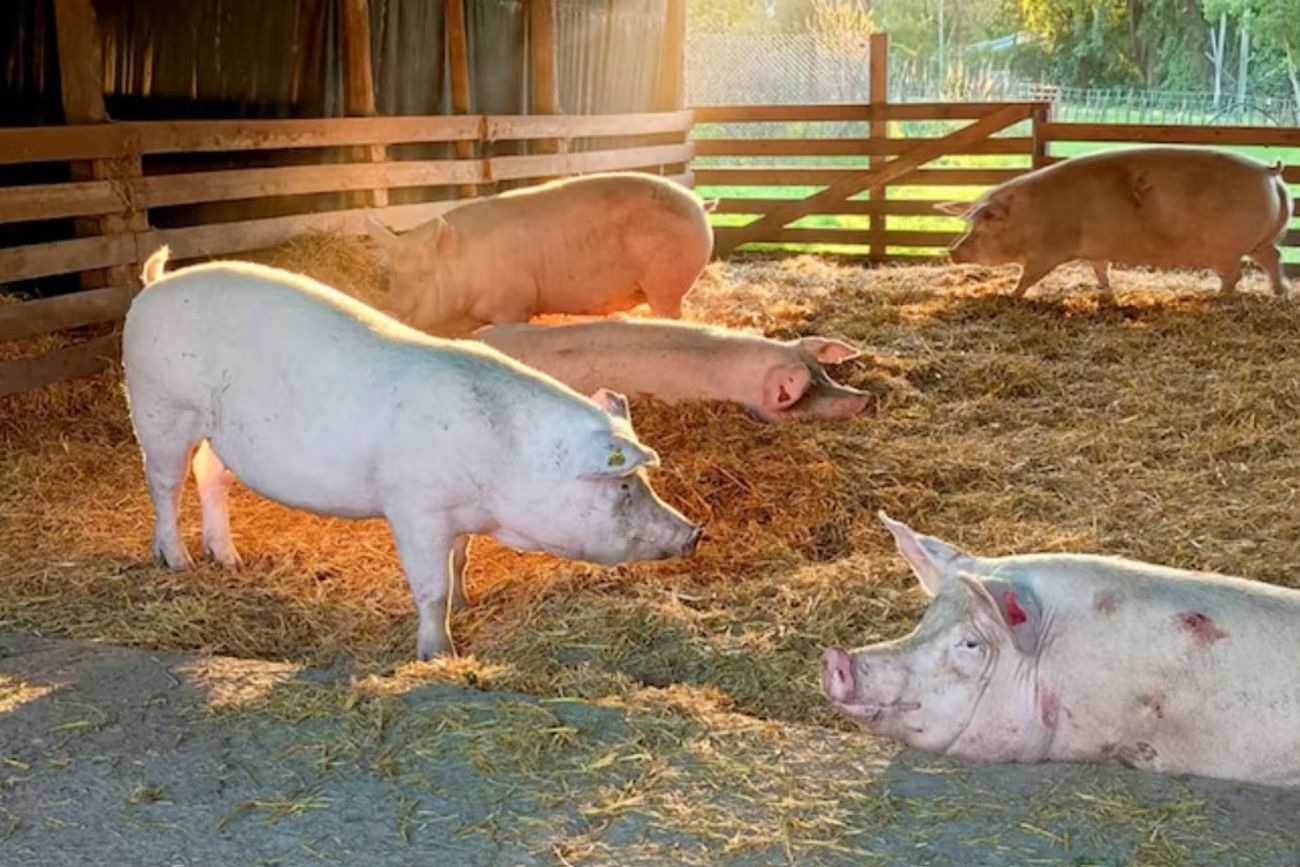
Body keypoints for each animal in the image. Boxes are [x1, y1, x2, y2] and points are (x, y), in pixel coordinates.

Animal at [122, 247, 701, 660]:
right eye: (623, 485)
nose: (694, 532)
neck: (507, 462)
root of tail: (156, 283)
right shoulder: (416, 508)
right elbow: (430, 586)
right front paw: (438, 655)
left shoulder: (460, 514)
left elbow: (460, 560)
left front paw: (469, 602)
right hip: (159, 406)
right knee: (163, 481)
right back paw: (178, 562)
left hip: (222, 432)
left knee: (208, 473)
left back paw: (230, 559)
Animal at [364, 172, 715, 337]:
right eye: (391, 275)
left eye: (424, 275)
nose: (388, 309)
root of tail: (700, 205)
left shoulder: (514, 303)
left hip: (667, 283)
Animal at [938, 146, 1294, 299]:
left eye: (984, 223)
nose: (952, 251)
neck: (1030, 217)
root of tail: (1268, 172)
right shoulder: (1096, 250)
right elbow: (1100, 269)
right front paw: (1105, 291)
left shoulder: (1047, 252)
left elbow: (1029, 276)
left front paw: (1010, 295)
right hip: (1261, 241)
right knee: (1272, 257)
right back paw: (1280, 294)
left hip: (1227, 248)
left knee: (1236, 274)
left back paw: (1216, 297)